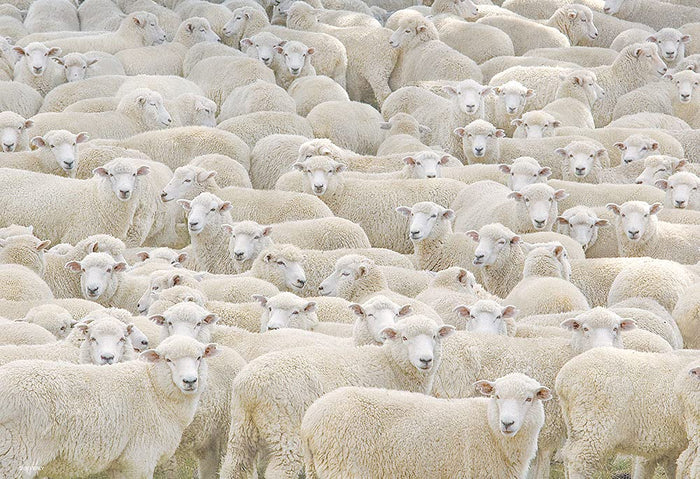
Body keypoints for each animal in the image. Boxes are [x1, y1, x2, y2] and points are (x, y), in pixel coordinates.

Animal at [0, 335, 217, 478]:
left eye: (199, 358)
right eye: (169, 360)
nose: (190, 381)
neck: (155, 389)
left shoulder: (120, 464)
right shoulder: (140, 460)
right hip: (13, 457)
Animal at [219, 314, 454, 479]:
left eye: (434, 336)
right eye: (404, 338)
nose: (426, 360)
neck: (391, 363)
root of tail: (249, 385)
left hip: (242, 426)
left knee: (233, 466)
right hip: (284, 427)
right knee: (279, 471)